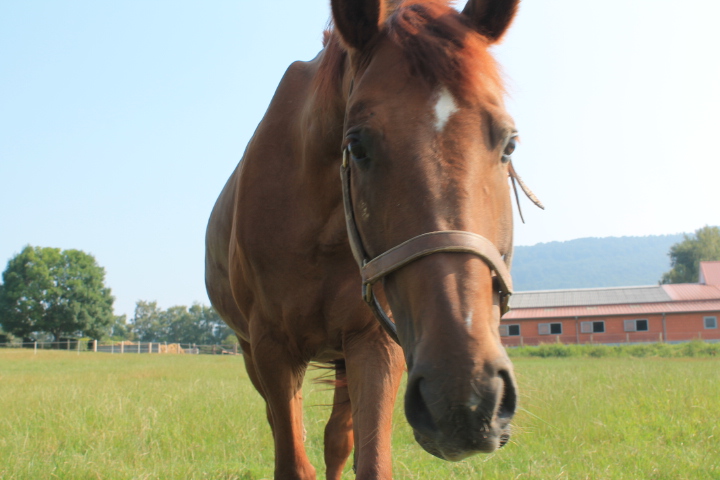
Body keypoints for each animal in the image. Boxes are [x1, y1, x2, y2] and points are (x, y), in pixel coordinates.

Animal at [205, 0, 540, 478]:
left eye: (509, 144)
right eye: (357, 146)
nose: (466, 398)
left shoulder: (376, 342)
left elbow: (365, 458)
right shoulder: (272, 348)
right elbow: (292, 459)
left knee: (336, 440)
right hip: (254, 353)